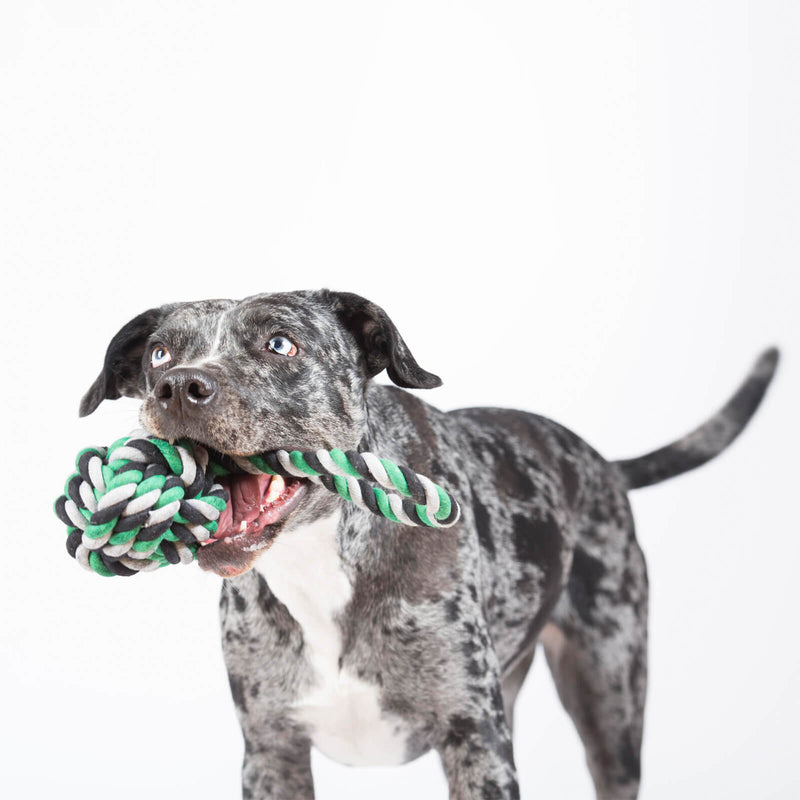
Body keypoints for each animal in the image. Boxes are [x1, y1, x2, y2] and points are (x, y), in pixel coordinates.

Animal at [78, 292, 780, 800]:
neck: (322, 563)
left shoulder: (475, 743)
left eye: (280, 343)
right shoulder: (272, 753)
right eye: (160, 353)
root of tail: (602, 463)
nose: (177, 386)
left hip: (610, 705)